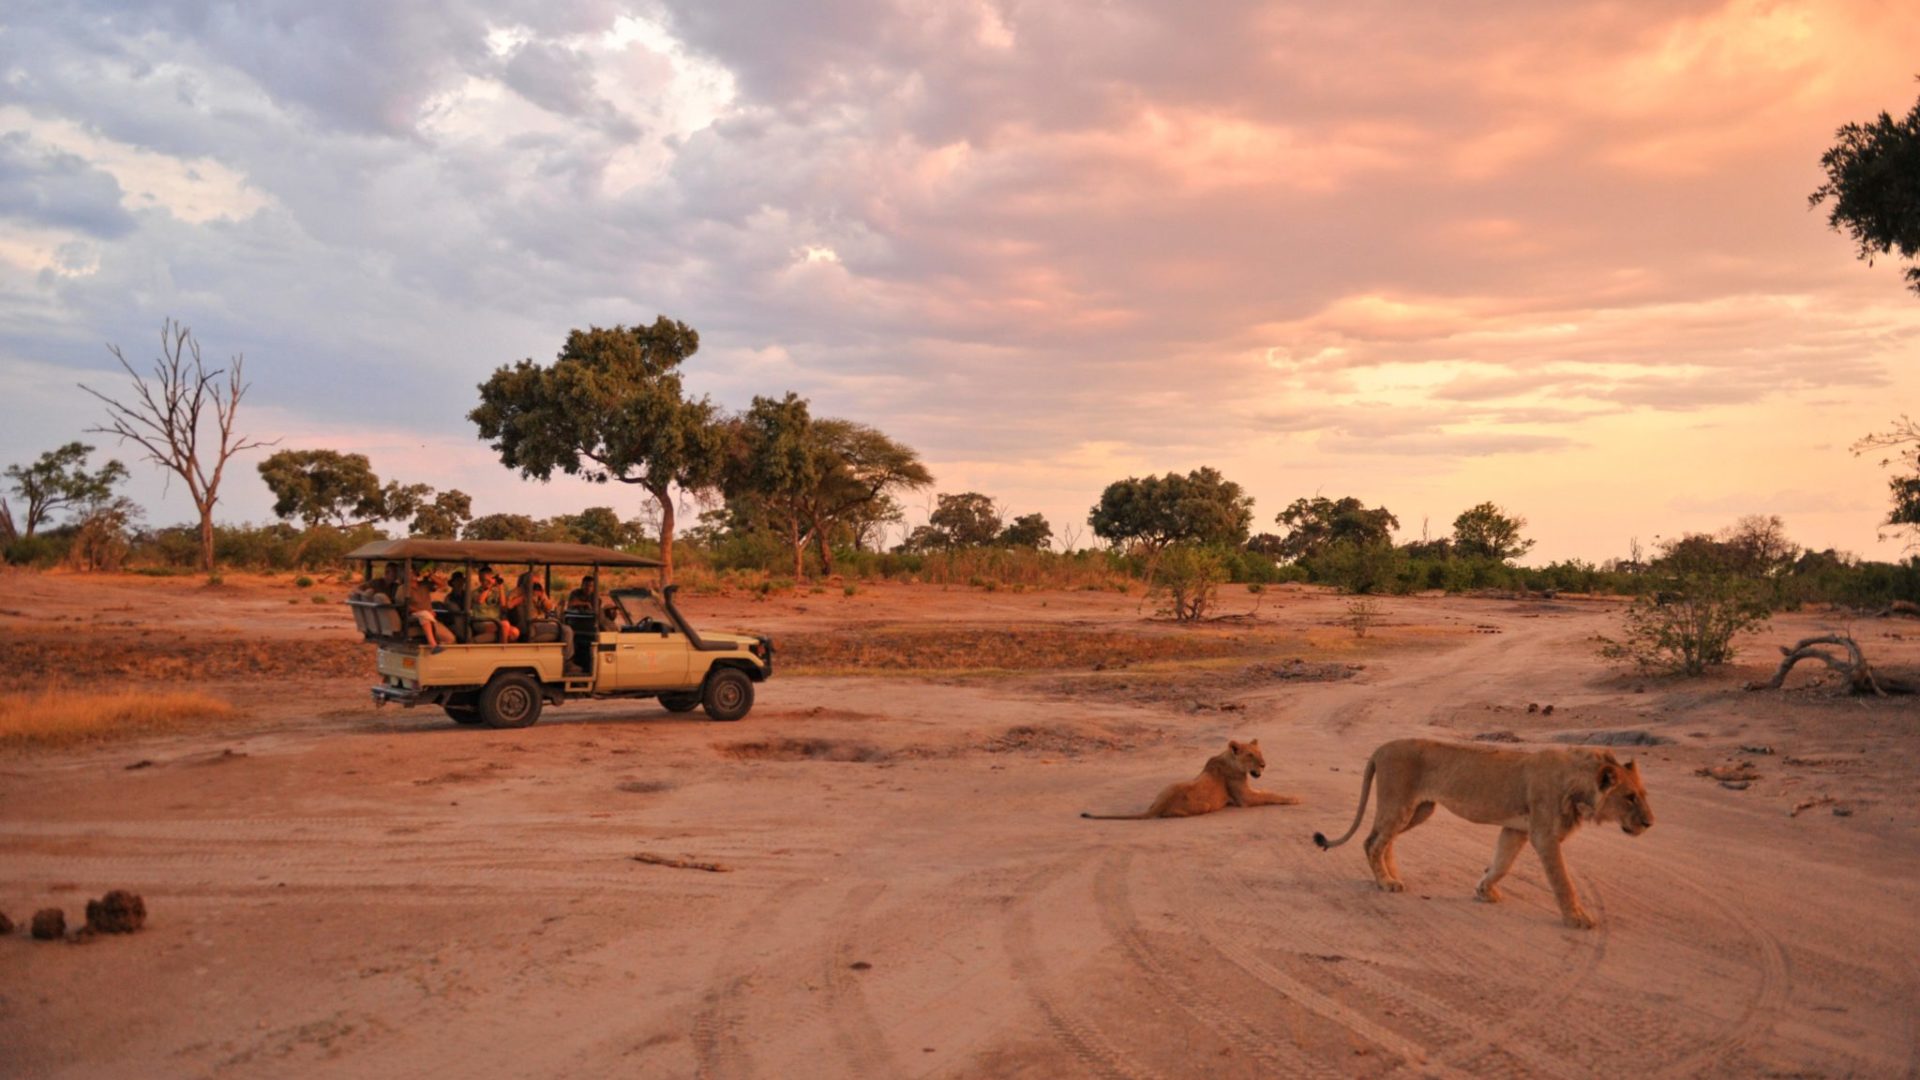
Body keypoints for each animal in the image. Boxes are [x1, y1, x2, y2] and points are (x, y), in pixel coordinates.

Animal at [1082, 739, 1300, 819]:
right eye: (1250, 755)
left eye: (1260, 753)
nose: (1264, 765)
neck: (1230, 760)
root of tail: (1159, 806)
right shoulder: (1244, 798)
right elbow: (1270, 795)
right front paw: (1294, 798)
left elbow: (1267, 791)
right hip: (1204, 806)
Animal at [1311, 738, 1653, 928]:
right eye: (1629, 797)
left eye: (1643, 794)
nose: (1650, 823)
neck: (1577, 784)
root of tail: (1381, 748)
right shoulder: (1544, 836)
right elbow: (1562, 881)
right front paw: (1578, 918)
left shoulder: (1516, 829)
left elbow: (1502, 863)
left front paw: (1484, 891)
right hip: (1400, 804)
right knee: (1372, 841)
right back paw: (1385, 883)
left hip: (1420, 809)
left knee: (1384, 840)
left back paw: (1391, 876)